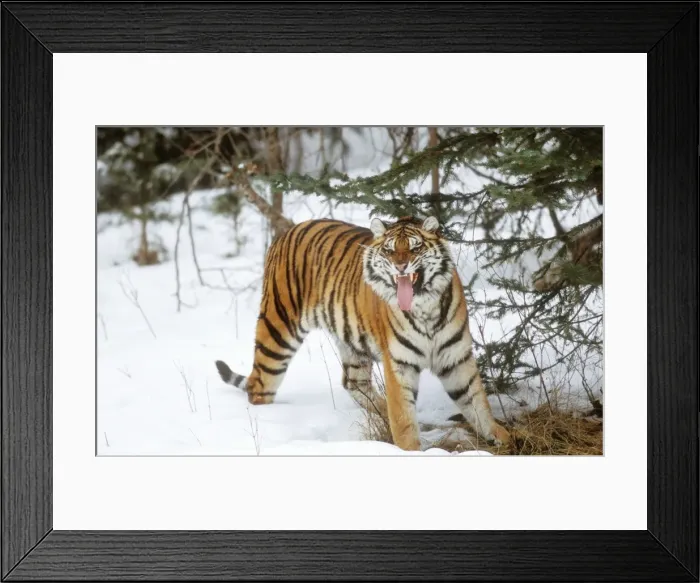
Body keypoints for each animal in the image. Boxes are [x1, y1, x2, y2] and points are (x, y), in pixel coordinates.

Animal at [215, 215, 510, 451]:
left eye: (415, 247)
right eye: (389, 250)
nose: (400, 267)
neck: (424, 307)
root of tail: (287, 231)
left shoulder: (456, 358)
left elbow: (477, 403)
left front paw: (503, 437)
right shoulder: (399, 363)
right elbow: (403, 418)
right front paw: (409, 450)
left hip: (351, 343)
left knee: (353, 382)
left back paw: (381, 410)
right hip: (278, 328)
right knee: (260, 384)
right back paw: (267, 423)